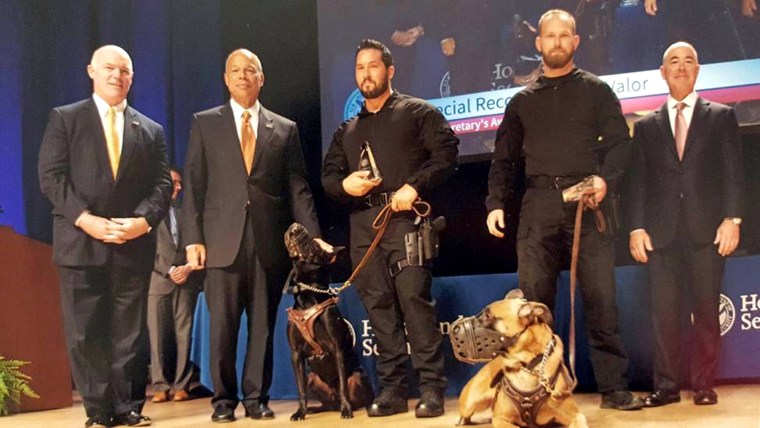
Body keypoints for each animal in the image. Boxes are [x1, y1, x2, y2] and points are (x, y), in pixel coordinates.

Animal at [284, 224, 372, 422]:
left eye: (314, 245)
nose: (295, 226)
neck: (308, 295)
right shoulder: (295, 354)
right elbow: (300, 390)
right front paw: (300, 412)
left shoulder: (336, 348)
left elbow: (343, 386)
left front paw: (346, 410)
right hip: (311, 377)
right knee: (325, 403)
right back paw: (314, 409)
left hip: (359, 375)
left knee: (357, 396)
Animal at [454, 290, 584, 426]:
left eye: (488, 315)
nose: (455, 328)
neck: (525, 365)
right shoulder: (500, 419)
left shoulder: (576, 415)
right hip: (469, 403)